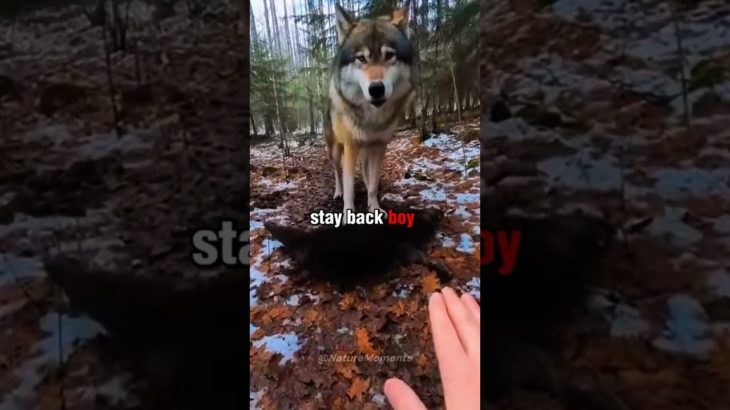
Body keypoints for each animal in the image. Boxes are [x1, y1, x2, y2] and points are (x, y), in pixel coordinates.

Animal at [324, 1, 417, 217]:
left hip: (365, 152)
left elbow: (374, 183)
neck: (372, 119)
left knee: (366, 173)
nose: (376, 89)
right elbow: (349, 187)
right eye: (361, 58)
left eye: (389, 55)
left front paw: (374, 207)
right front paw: (348, 214)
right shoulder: (350, 146)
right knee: (338, 173)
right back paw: (338, 192)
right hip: (336, 150)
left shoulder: (379, 146)